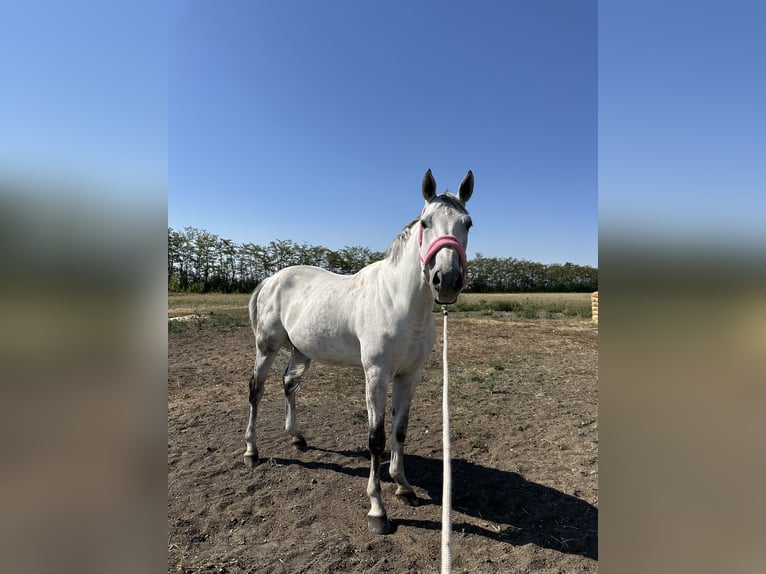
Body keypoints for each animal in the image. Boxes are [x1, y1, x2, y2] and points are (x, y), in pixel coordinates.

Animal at [244, 168, 474, 534]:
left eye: (467, 223)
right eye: (425, 223)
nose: (447, 279)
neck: (400, 303)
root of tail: (271, 279)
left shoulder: (409, 376)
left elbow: (399, 430)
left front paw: (404, 487)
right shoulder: (376, 375)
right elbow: (376, 438)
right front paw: (377, 510)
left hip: (301, 351)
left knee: (289, 385)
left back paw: (297, 438)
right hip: (266, 347)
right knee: (257, 390)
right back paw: (252, 451)